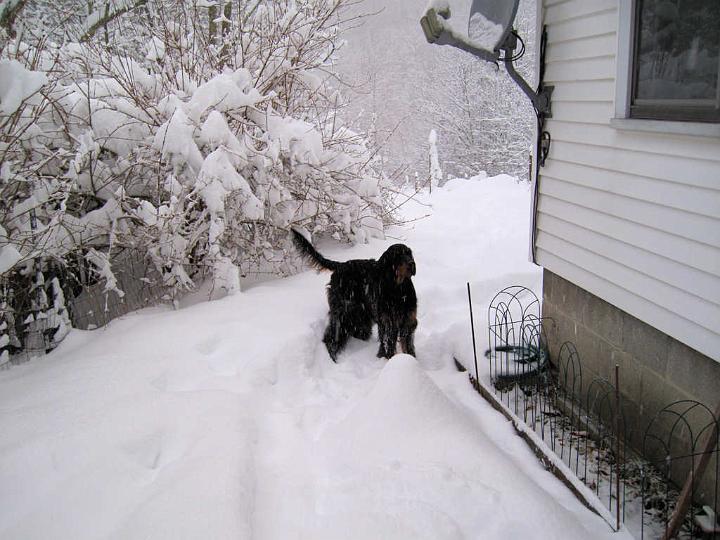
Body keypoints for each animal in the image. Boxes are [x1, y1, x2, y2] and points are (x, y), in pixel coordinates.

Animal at [292, 229, 416, 362]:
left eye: (409, 254)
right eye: (397, 256)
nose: (411, 263)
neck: (398, 289)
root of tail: (340, 266)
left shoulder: (408, 320)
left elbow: (408, 346)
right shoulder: (387, 322)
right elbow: (388, 344)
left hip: (360, 314)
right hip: (342, 311)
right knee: (332, 335)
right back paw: (332, 358)